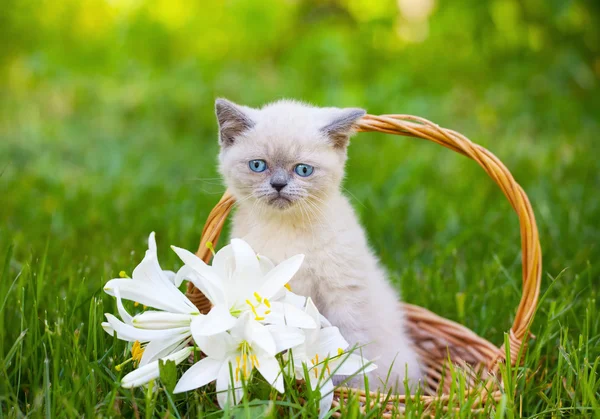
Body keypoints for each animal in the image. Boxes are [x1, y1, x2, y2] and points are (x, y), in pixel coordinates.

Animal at [216, 99, 422, 394]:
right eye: (258, 165)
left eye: (303, 170)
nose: (278, 185)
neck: (286, 228)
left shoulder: (343, 294)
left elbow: (350, 345)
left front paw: (349, 389)